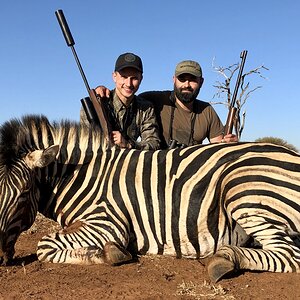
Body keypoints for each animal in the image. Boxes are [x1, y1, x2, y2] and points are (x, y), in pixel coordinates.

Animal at [0, 115, 298, 282]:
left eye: (24, 193)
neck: (80, 176)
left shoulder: (108, 224)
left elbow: (44, 245)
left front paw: (108, 253)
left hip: (242, 190)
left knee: (289, 256)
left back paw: (223, 259)